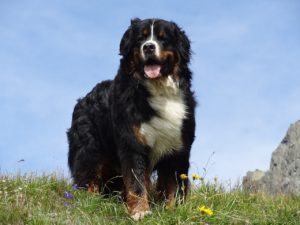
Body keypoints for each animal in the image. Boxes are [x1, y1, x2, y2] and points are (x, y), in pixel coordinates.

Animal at [67, 18, 196, 220]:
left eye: (163, 38)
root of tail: (83, 99)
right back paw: (90, 202)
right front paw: (140, 211)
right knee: (89, 177)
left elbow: (174, 186)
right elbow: (136, 183)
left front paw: (173, 211)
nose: (148, 47)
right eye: (140, 39)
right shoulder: (132, 143)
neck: (159, 91)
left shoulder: (178, 148)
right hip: (89, 151)